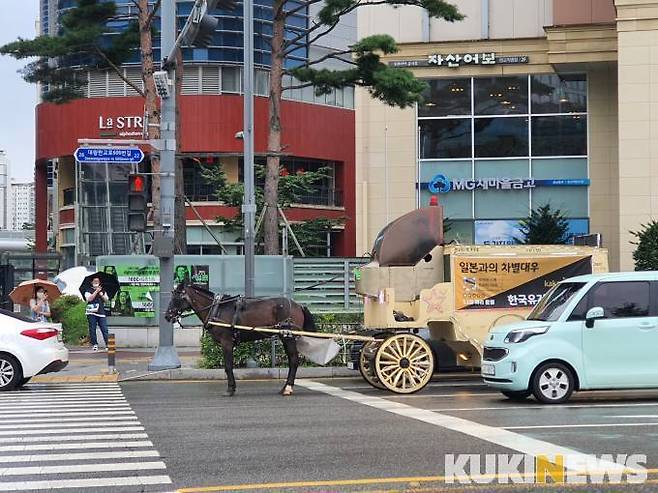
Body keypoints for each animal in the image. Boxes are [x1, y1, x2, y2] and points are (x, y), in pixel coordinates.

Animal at [165, 280, 316, 396]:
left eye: (176, 297)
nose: (167, 316)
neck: (217, 310)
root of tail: (299, 305)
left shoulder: (226, 343)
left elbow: (228, 366)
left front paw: (230, 389)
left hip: (288, 337)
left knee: (294, 361)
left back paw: (288, 388)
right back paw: (285, 387)